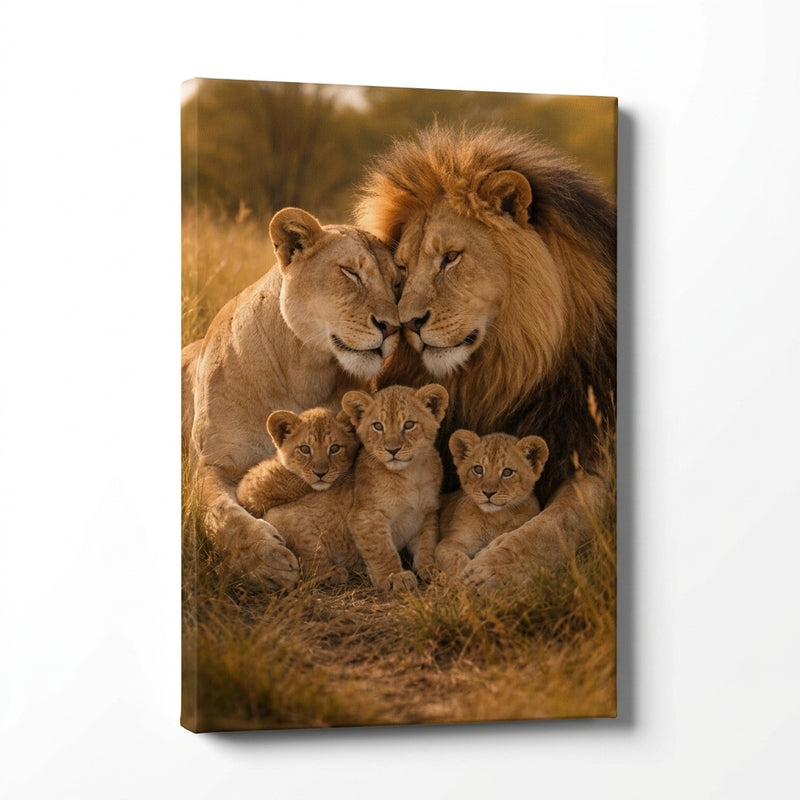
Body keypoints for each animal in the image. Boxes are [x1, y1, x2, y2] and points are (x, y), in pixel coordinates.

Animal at [182, 207, 402, 590]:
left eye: (397, 285)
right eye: (351, 272)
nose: (392, 328)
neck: (304, 371)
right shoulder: (212, 463)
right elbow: (221, 514)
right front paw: (265, 561)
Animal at [356, 124, 616, 591]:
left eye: (450, 258)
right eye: (402, 270)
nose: (408, 323)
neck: (501, 369)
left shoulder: (591, 450)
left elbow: (557, 523)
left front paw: (493, 570)